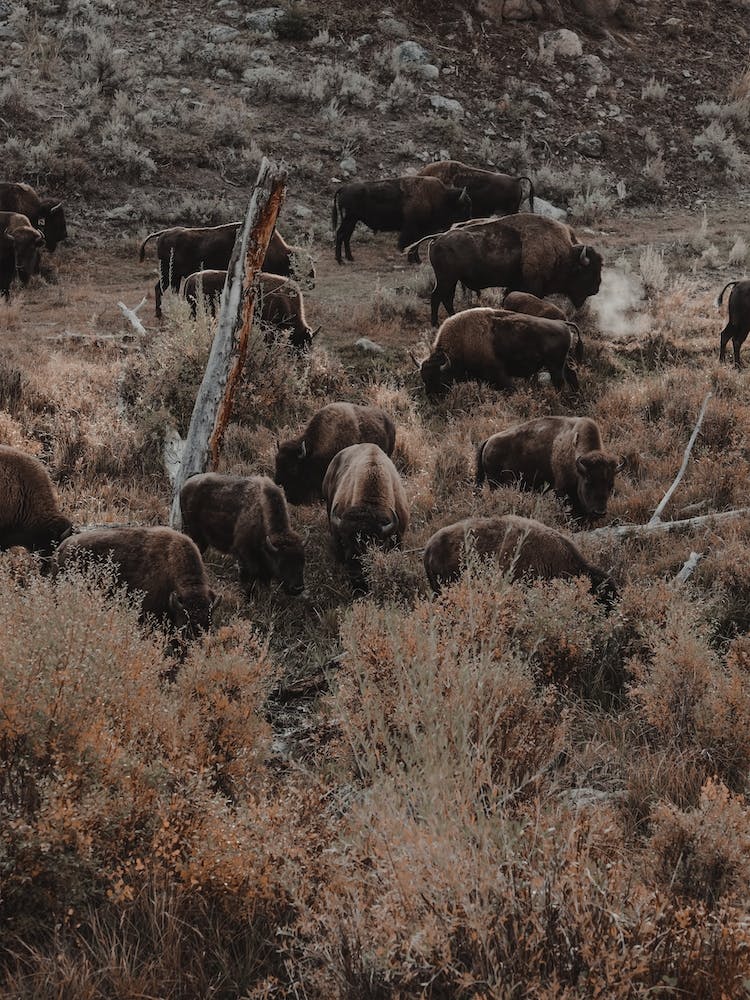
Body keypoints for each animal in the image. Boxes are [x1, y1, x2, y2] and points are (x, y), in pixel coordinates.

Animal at [332, 175, 471, 264]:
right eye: (464, 207)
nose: (468, 223)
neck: (439, 198)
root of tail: (344, 188)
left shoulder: (419, 231)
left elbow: (416, 244)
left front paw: (417, 260)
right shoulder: (412, 229)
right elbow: (411, 244)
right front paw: (413, 260)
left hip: (352, 220)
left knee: (346, 236)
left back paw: (350, 258)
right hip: (350, 218)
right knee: (341, 235)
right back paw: (340, 260)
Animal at [419, 307, 583, 396]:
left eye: (438, 378)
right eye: (424, 378)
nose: (432, 398)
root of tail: (562, 323)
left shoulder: (499, 375)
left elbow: (509, 388)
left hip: (554, 366)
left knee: (559, 382)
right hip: (563, 363)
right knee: (571, 376)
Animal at [477, 416, 620, 519]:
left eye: (611, 485)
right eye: (588, 483)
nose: (600, 512)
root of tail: (488, 440)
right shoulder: (561, 490)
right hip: (495, 484)